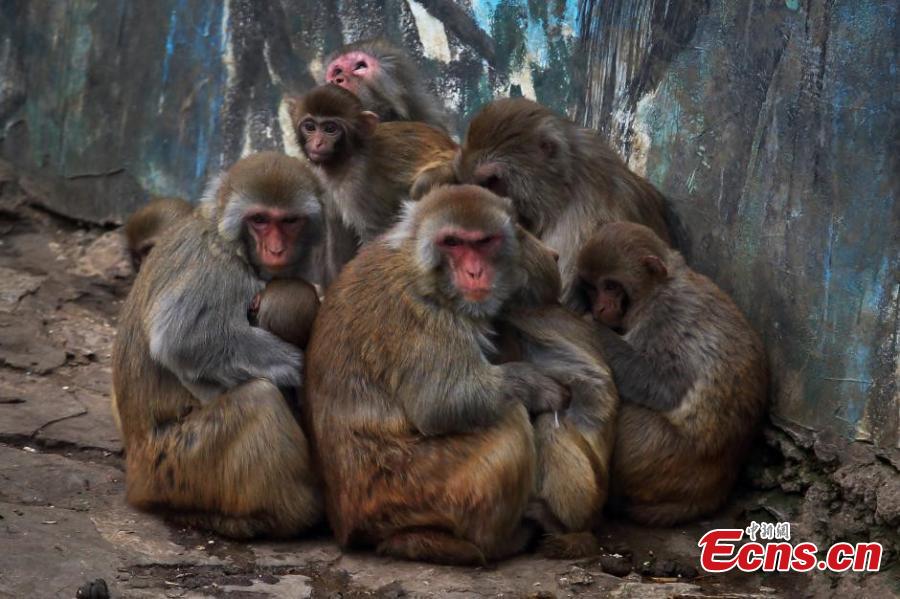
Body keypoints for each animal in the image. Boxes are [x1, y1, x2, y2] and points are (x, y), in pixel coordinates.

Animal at [111, 152, 325, 539]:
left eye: (289, 221)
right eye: (259, 220)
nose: (276, 249)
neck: (227, 236)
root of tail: (134, 469)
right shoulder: (219, 269)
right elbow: (182, 340)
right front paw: (295, 364)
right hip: (178, 464)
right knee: (259, 399)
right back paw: (286, 516)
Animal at [288, 84, 457, 281]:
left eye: (330, 128)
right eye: (310, 127)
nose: (317, 143)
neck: (346, 158)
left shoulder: (358, 186)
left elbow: (376, 235)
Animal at [304, 185, 569, 565]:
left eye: (484, 242)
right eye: (453, 242)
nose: (474, 272)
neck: (420, 268)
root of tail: (346, 525)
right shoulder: (418, 315)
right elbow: (441, 403)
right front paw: (538, 386)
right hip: (412, 489)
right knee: (509, 422)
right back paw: (496, 542)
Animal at [574, 222, 768, 526]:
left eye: (611, 286)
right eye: (593, 288)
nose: (600, 307)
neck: (658, 287)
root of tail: (716, 489)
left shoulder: (665, 316)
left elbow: (664, 384)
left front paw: (591, 326)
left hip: (656, 453)